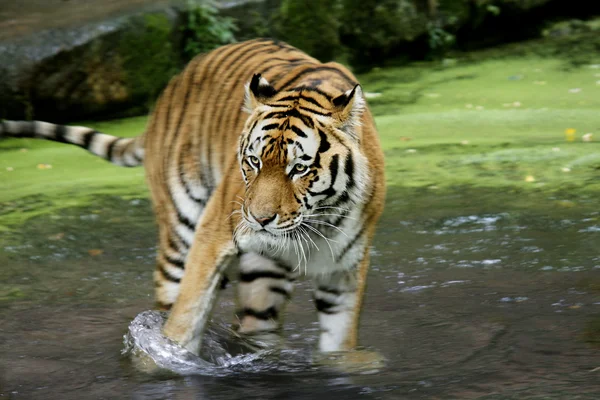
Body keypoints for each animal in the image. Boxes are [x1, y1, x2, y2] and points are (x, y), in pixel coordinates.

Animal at [0, 38, 384, 354]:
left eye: (299, 168)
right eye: (254, 162)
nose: (259, 220)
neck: (317, 223)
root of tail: (173, 83)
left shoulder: (344, 273)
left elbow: (339, 345)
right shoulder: (211, 236)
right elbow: (185, 319)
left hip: (262, 275)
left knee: (254, 322)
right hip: (181, 230)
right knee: (169, 296)